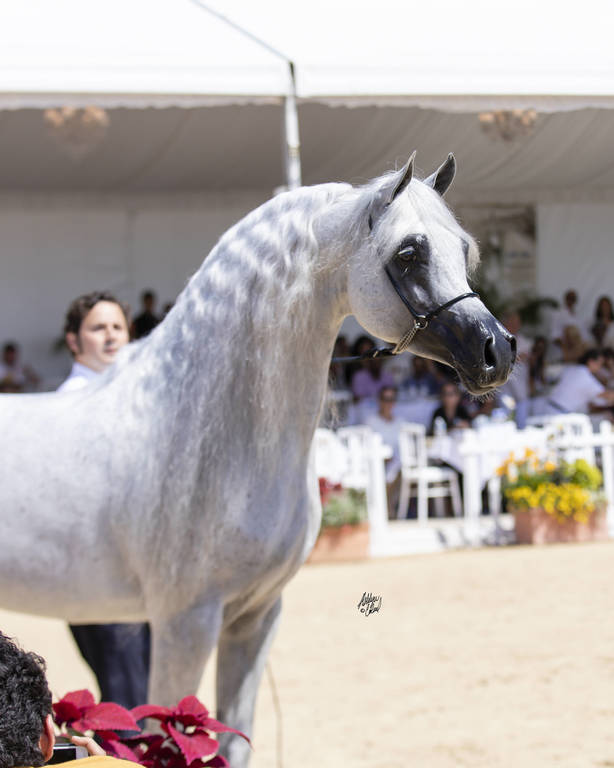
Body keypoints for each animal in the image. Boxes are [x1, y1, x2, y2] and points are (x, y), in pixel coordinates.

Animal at [0, 152, 515, 766]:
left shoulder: (254, 618)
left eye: (463, 250)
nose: (497, 352)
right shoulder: (184, 623)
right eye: (408, 253)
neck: (209, 432)